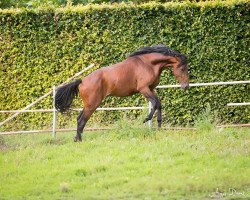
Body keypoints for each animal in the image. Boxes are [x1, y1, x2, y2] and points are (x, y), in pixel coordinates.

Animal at [56, 45, 189, 142]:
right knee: (81, 120)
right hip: (92, 105)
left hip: (89, 105)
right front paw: (146, 119)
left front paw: (159, 126)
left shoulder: (151, 89)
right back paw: (79, 140)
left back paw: (76, 139)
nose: (186, 86)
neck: (148, 64)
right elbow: (155, 103)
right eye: (182, 68)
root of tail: (81, 81)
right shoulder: (144, 89)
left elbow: (159, 104)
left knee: (79, 119)